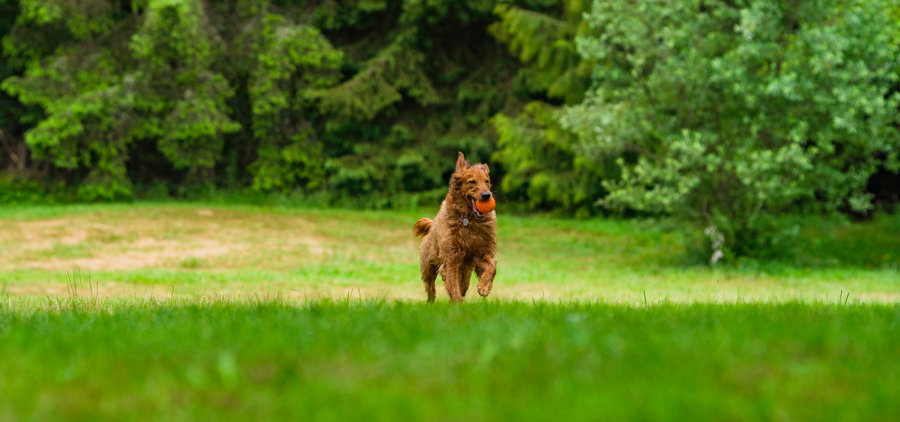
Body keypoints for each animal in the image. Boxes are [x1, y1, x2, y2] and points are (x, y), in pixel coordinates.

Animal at [414, 153, 496, 302]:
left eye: (486, 181)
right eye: (472, 181)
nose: (487, 195)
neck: (468, 220)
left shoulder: (481, 253)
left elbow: (492, 267)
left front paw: (484, 287)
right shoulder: (451, 257)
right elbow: (453, 286)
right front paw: (458, 303)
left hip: (466, 271)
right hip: (428, 267)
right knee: (431, 288)